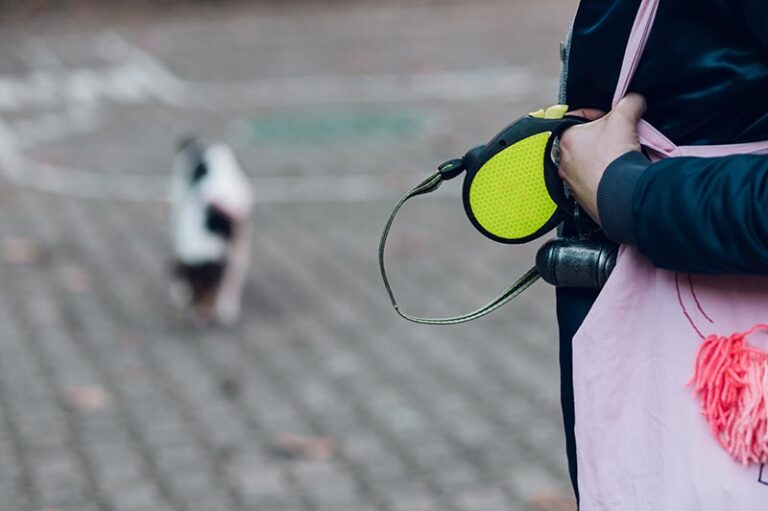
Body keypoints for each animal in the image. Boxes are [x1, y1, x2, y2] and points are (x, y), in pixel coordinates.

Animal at [170, 139, 254, 324]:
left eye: (209, 284)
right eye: (194, 288)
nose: (200, 315)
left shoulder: (233, 255)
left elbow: (230, 282)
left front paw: (226, 308)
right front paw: (181, 293)